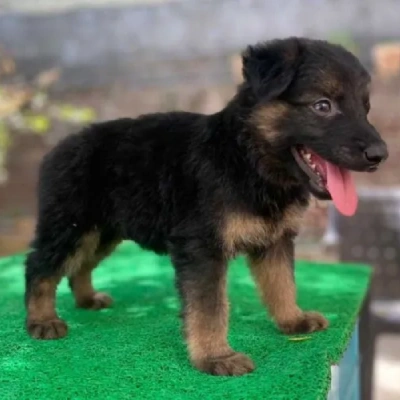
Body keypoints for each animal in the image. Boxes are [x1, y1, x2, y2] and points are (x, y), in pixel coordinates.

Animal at [25, 36, 388, 376]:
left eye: (366, 108)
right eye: (322, 106)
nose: (380, 156)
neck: (247, 157)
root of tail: (58, 149)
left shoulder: (275, 241)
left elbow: (282, 283)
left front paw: (292, 319)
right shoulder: (203, 248)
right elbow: (210, 308)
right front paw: (216, 357)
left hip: (102, 233)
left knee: (79, 266)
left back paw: (87, 298)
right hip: (70, 228)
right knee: (40, 266)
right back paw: (42, 320)